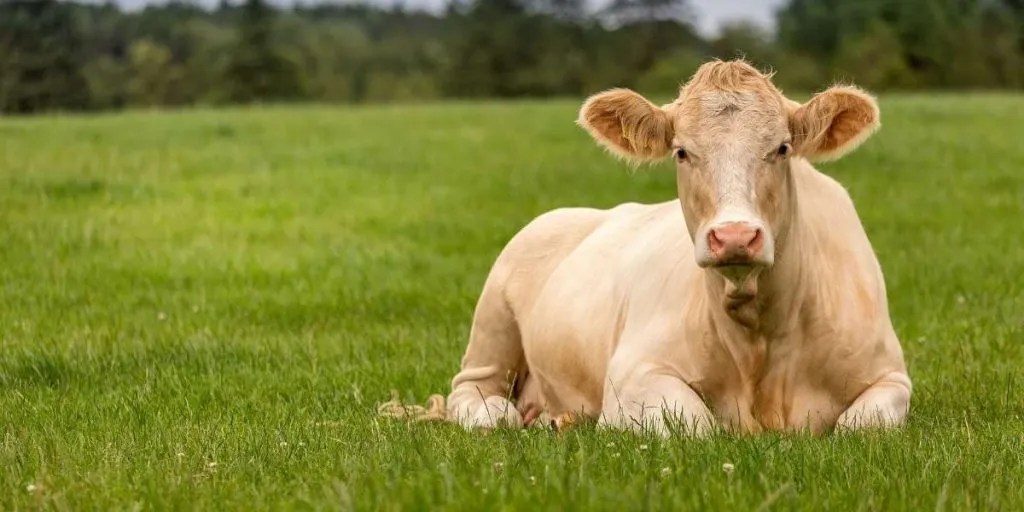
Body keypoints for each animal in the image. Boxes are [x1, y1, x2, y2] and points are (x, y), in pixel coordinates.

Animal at [442, 59, 911, 435]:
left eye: (782, 148)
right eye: (682, 152)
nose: (735, 236)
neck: (759, 336)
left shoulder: (892, 376)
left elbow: (859, 425)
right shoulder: (633, 373)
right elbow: (698, 426)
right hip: (492, 325)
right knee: (471, 393)